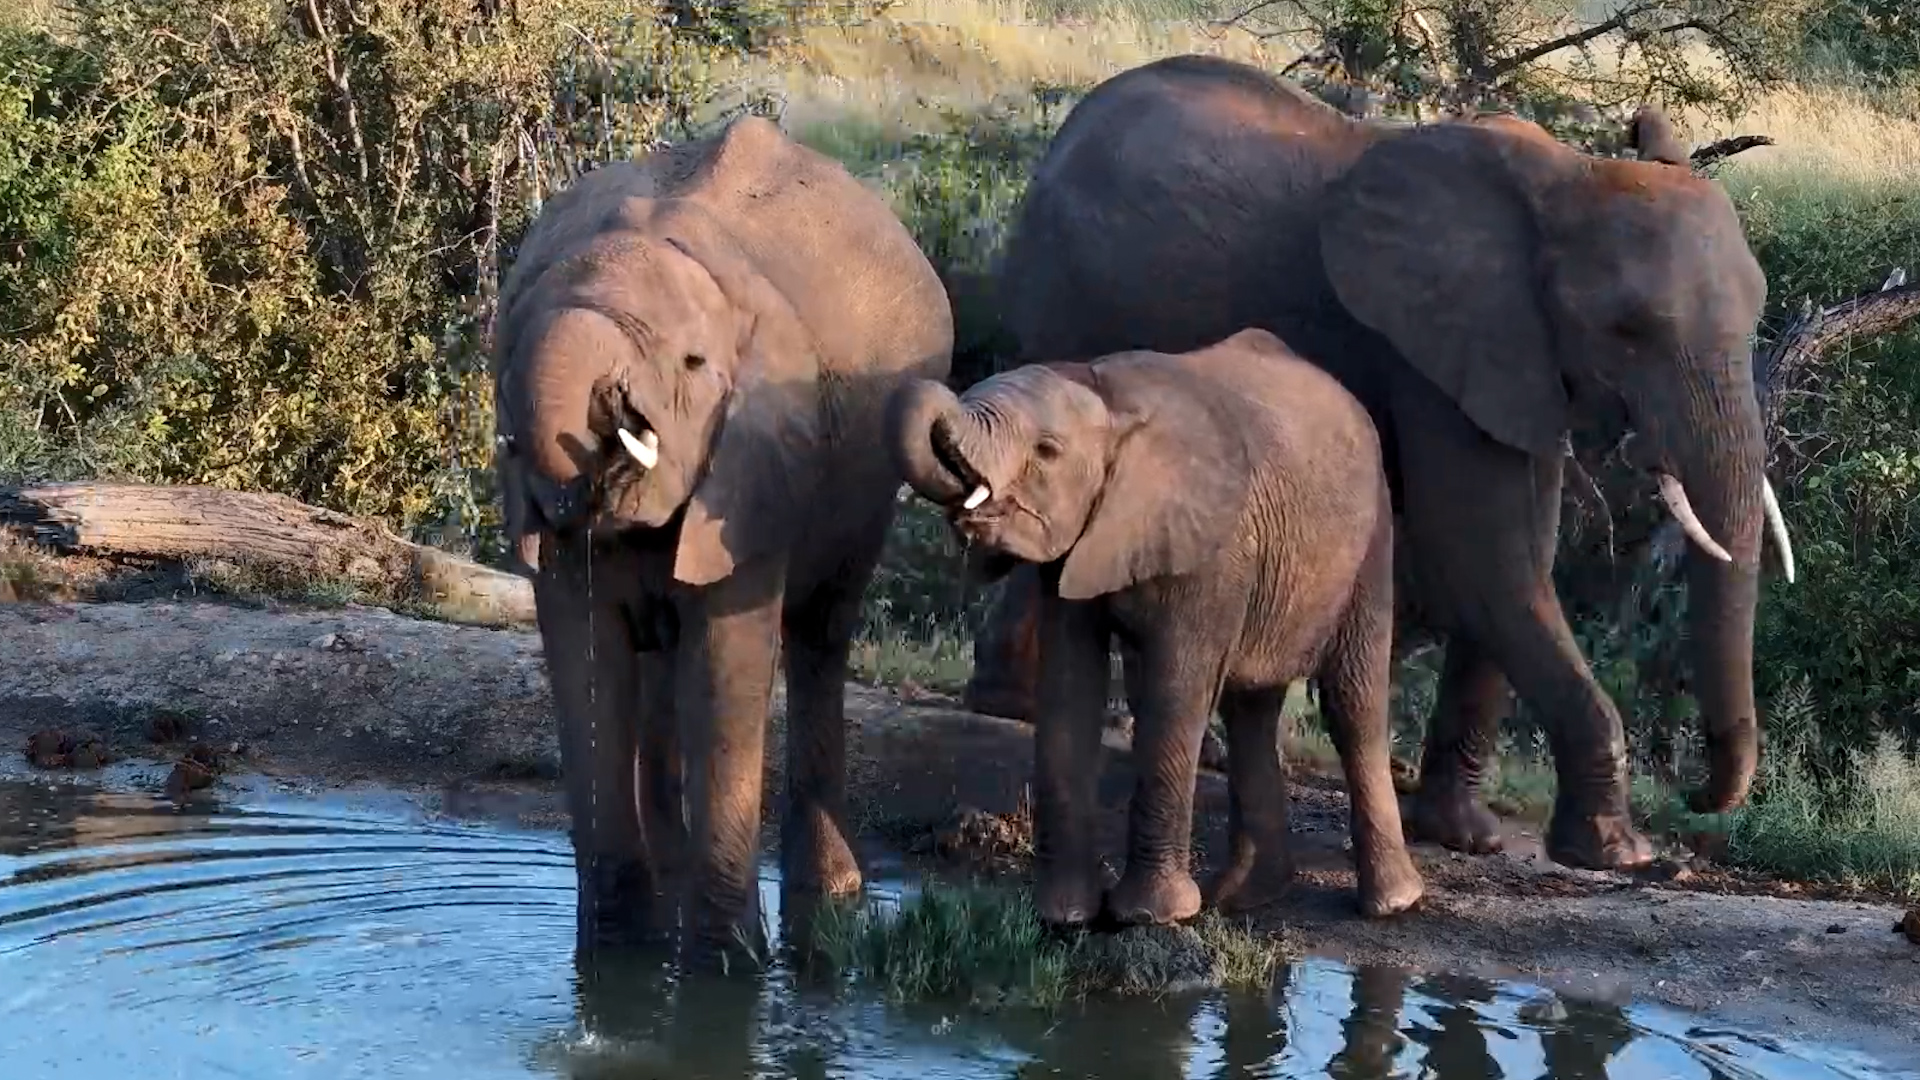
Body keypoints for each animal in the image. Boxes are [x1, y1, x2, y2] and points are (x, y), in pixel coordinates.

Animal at [491, 115, 953, 949]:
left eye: (692, 362)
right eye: (506, 344)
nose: (611, 410)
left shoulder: (761, 459)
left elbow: (725, 661)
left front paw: (726, 964)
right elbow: (585, 654)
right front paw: (616, 958)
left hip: (866, 487)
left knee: (819, 635)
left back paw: (831, 900)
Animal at [887, 328, 1424, 926]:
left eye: (1047, 451)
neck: (1109, 399)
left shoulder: (1212, 551)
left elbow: (1175, 689)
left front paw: (1150, 916)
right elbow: (1071, 686)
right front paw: (1063, 916)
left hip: (1371, 541)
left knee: (1352, 701)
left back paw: (1391, 903)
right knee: (1250, 708)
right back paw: (1244, 897)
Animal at [959, 54, 1796, 872]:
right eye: (1627, 330)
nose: (1698, 797)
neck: (1567, 179)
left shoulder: (1512, 359)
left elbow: (1522, 549)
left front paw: (1465, 836)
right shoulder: (1426, 350)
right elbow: (1484, 552)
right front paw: (1617, 853)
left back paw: (1013, 702)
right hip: (1063, 298)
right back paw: (1023, 708)